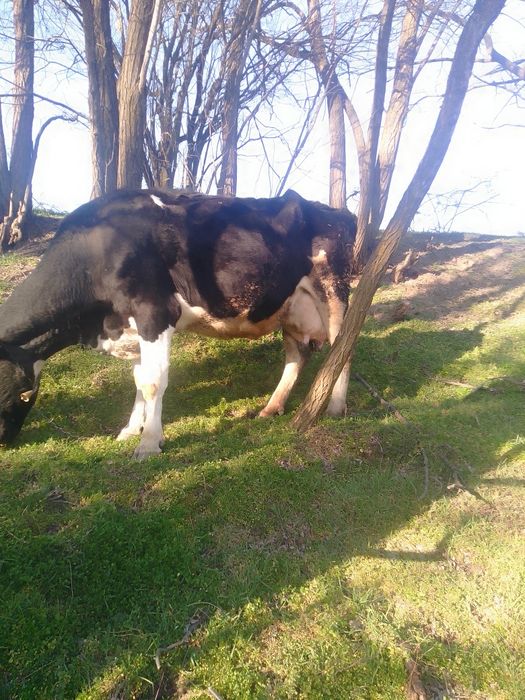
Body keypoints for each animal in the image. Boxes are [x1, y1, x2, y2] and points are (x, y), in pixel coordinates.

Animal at [0, 189, 356, 459]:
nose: (4, 442)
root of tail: (335, 211)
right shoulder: (132, 328)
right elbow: (139, 379)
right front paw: (131, 429)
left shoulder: (154, 313)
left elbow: (153, 382)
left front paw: (148, 443)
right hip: (292, 307)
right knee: (297, 355)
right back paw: (272, 407)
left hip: (333, 290)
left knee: (343, 347)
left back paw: (335, 406)